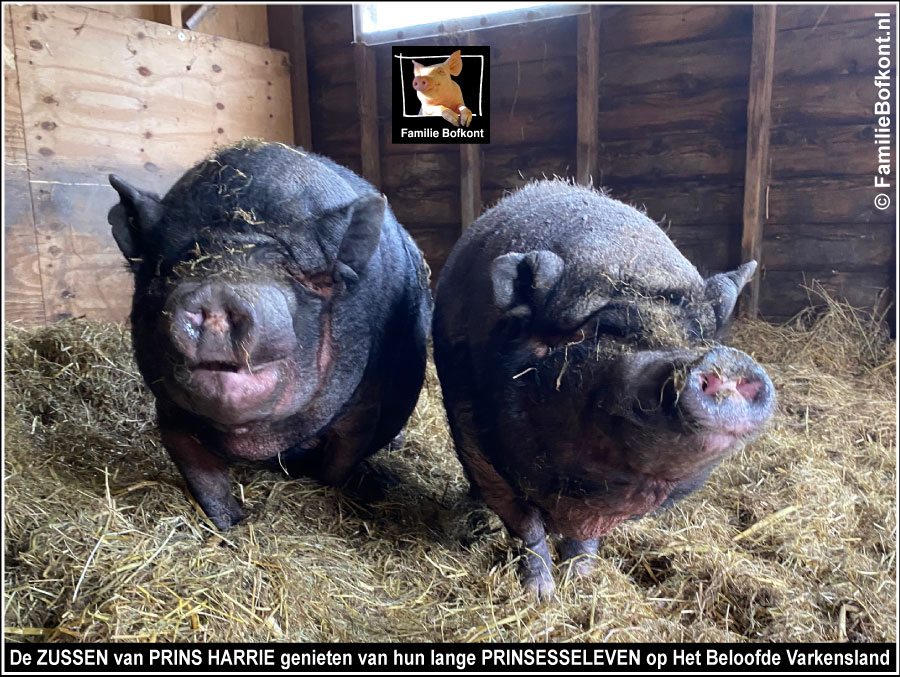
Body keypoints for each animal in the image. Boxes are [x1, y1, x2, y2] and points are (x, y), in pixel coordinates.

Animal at [109, 139, 432, 528]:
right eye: (174, 269)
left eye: (292, 272)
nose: (216, 292)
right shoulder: (169, 413)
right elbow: (203, 477)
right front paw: (231, 524)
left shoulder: (363, 406)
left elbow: (337, 467)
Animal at [432, 180, 776, 596]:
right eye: (604, 328)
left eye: (700, 335)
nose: (725, 359)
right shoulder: (475, 439)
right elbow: (525, 526)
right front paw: (540, 595)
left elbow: (584, 539)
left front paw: (580, 582)